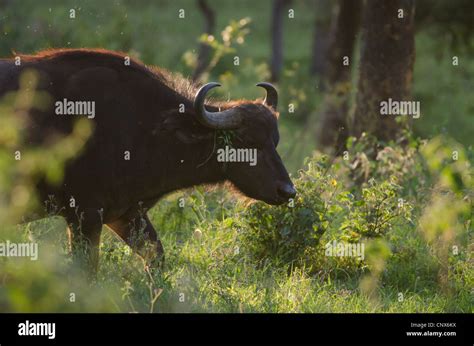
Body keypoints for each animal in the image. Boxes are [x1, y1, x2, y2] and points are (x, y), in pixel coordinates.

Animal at [0, 48, 294, 272]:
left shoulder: (127, 214)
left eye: (275, 140)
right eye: (248, 141)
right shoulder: (84, 215)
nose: (288, 191)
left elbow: (157, 256)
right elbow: (87, 271)